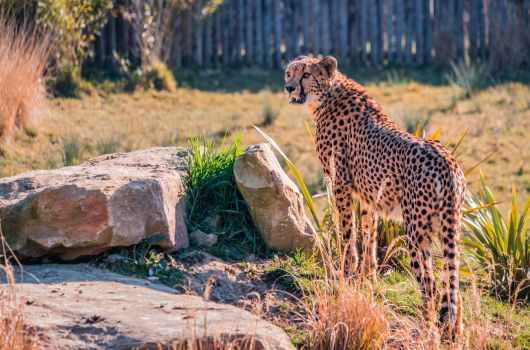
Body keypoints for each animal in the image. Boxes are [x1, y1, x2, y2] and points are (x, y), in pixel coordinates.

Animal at [284, 55, 462, 336]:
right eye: (289, 73)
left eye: (306, 75)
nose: (289, 87)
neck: (328, 96)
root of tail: (448, 161)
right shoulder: (369, 195)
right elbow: (368, 233)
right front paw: (368, 278)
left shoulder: (340, 184)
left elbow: (347, 233)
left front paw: (345, 272)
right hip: (449, 228)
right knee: (453, 290)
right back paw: (453, 334)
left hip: (416, 231)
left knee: (430, 286)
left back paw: (426, 329)